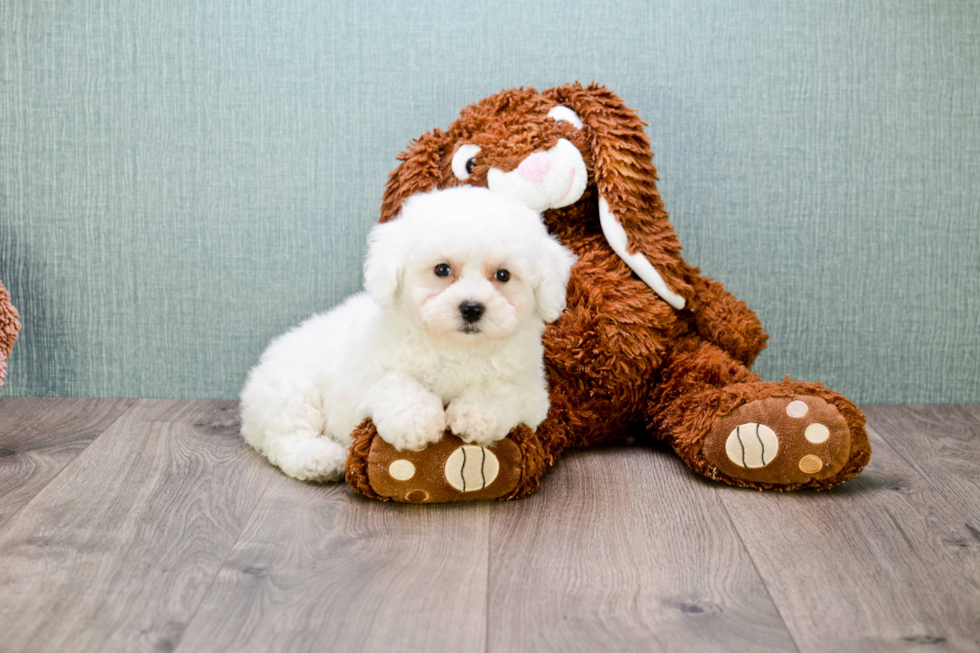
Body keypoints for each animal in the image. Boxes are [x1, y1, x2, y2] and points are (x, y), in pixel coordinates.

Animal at [239, 186, 576, 482]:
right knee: (288, 435)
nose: (471, 308)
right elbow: (396, 383)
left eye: (503, 275)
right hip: (289, 389)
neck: (456, 349)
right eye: (442, 270)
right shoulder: (361, 381)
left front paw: (475, 415)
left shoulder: (532, 390)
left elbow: (502, 390)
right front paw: (416, 421)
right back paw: (319, 458)